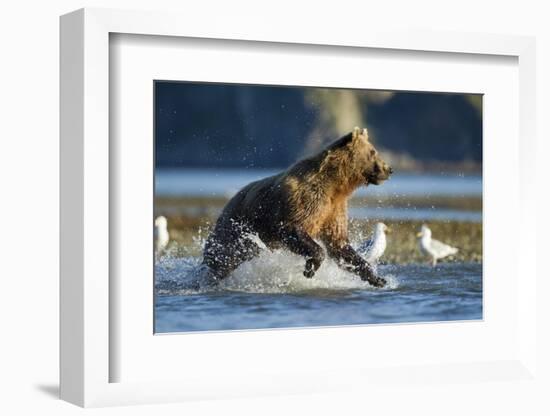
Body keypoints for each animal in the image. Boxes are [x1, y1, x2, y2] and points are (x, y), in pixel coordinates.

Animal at [203, 127, 392, 286]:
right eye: (373, 151)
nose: (389, 169)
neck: (336, 185)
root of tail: (227, 204)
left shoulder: (334, 209)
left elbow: (339, 245)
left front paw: (378, 279)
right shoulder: (305, 199)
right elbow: (293, 228)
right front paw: (310, 268)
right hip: (235, 228)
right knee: (222, 258)